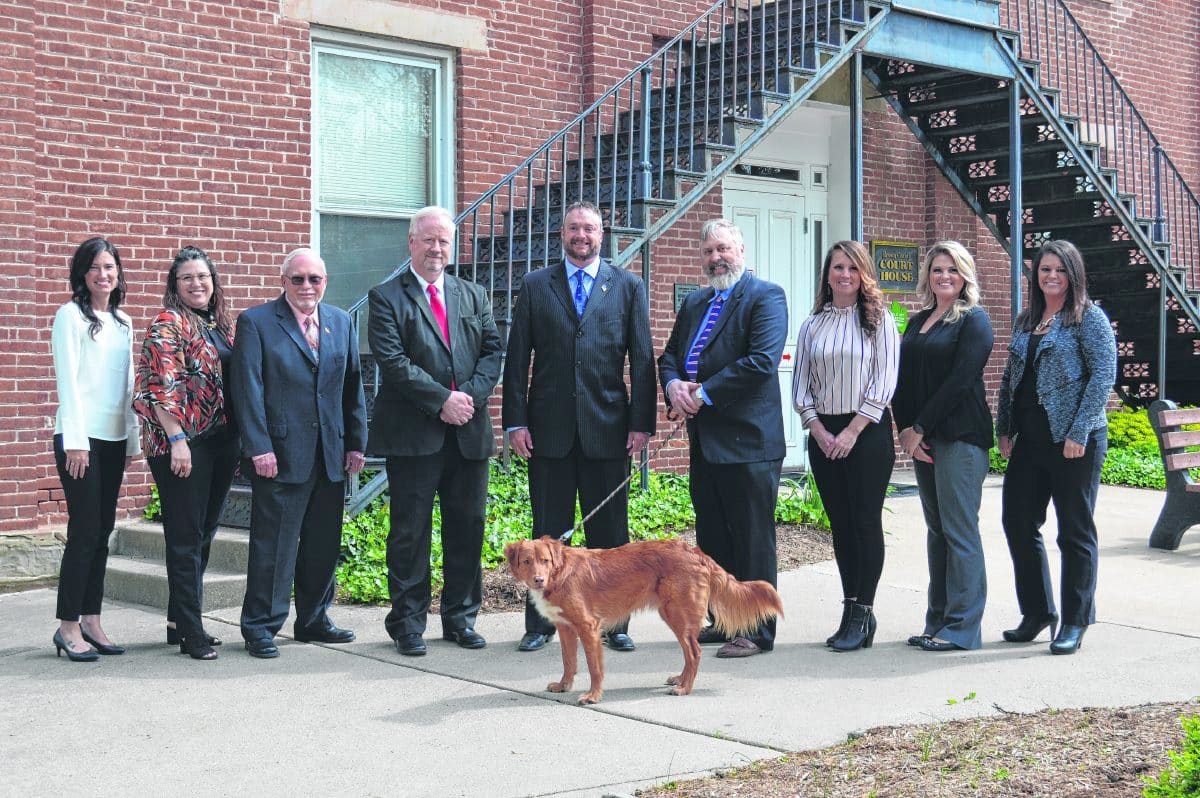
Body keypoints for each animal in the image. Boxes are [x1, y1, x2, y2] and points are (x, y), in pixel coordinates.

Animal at [501, 535, 782, 705]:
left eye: (545, 561)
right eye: (527, 561)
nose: (538, 580)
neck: (559, 574)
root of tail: (695, 551)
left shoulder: (588, 627)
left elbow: (594, 667)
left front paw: (593, 695)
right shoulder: (566, 627)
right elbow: (568, 662)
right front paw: (563, 685)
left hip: (676, 614)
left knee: (695, 652)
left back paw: (685, 689)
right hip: (672, 616)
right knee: (689, 653)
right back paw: (680, 680)